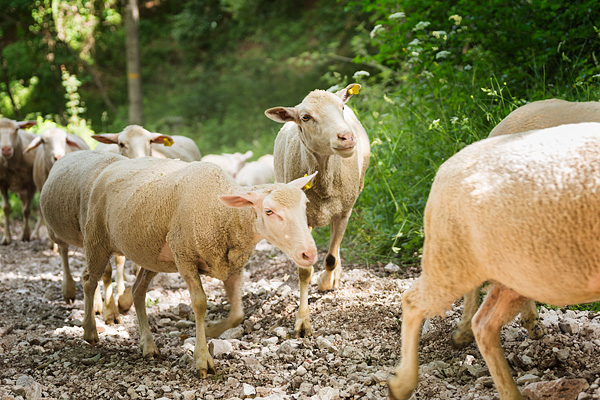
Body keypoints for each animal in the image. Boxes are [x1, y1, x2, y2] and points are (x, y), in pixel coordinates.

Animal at [0, 117, 38, 245]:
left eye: (16, 129)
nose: (5, 149)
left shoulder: (31, 185)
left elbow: (27, 210)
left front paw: (25, 235)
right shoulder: (2, 183)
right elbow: (6, 208)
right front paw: (6, 238)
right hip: (21, 191)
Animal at [47, 153, 316, 378]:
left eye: (305, 206)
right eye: (269, 211)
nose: (309, 253)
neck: (223, 214)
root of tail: (109, 164)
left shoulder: (232, 265)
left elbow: (237, 314)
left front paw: (212, 330)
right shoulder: (185, 257)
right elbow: (200, 304)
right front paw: (203, 358)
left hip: (151, 254)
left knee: (138, 291)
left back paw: (148, 345)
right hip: (97, 239)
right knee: (89, 280)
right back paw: (90, 330)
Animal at [266, 84, 370, 338]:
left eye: (341, 108)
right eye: (305, 117)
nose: (346, 137)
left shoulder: (344, 211)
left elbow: (331, 257)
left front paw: (326, 281)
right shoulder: (302, 219)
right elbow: (304, 271)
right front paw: (303, 322)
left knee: (335, 247)